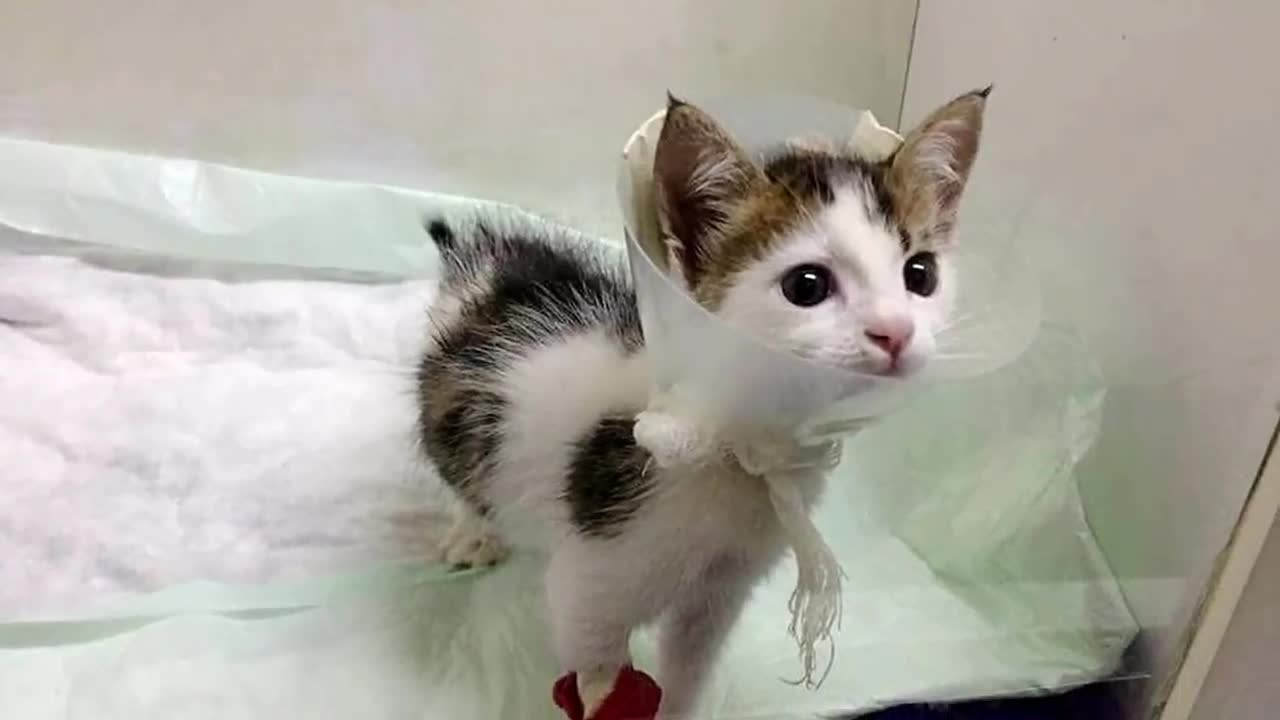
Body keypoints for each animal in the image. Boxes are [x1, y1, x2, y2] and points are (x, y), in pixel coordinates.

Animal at [414, 90, 983, 717]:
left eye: (920, 274)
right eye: (806, 285)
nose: (896, 332)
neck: (739, 450)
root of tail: (491, 272)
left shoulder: (722, 590)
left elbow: (689, 664)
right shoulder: (590, 582)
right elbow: (597, 669)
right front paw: (599, 692)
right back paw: (475, 531)